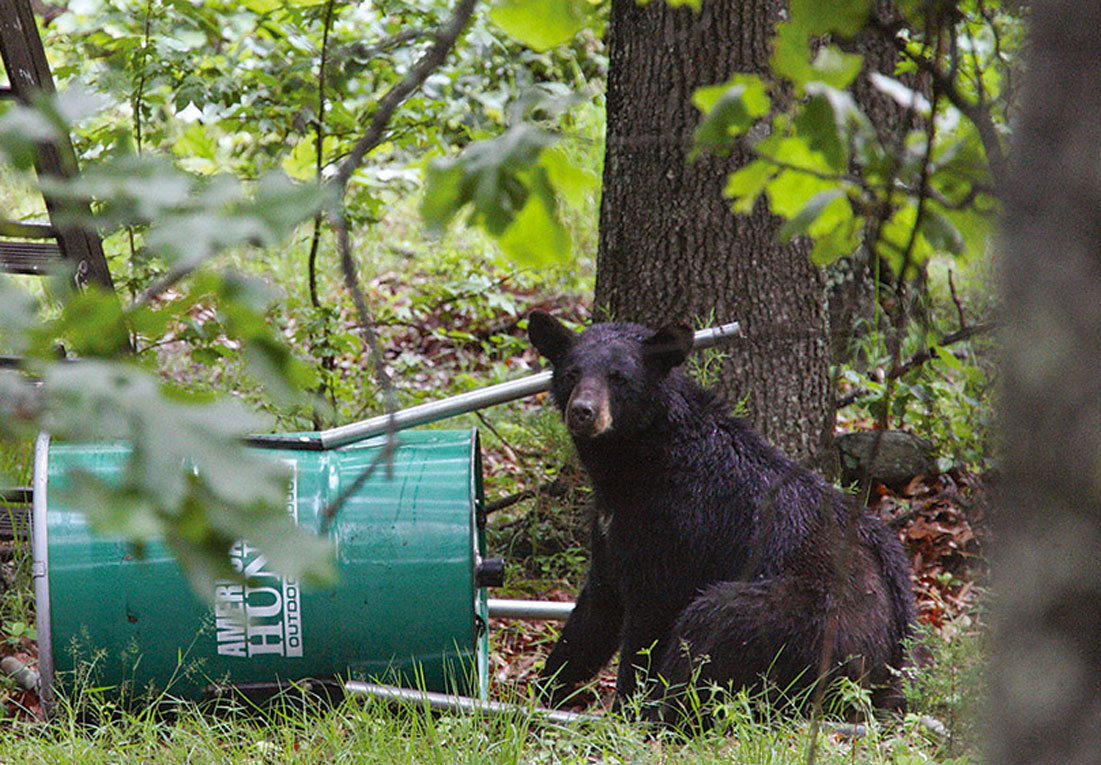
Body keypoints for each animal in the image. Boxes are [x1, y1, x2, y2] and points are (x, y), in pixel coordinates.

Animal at [527, 310, 915, 723]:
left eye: (619, 377)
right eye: (572, 373)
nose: (583, 412)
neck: (636, 465)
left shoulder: (676, 526)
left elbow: (649, 620)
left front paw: (625, 710)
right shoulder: (611, 526)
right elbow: (595, 612)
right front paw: (543, 689)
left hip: (796, 622)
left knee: (709, 624)